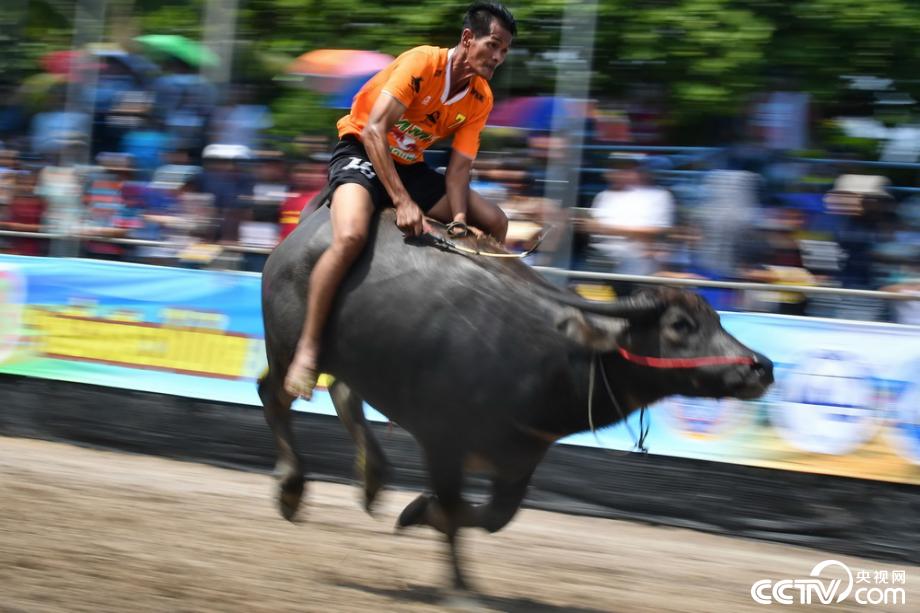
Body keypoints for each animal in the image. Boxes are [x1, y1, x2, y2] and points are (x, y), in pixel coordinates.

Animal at [258, 204, 773, 599]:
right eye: (680, 326)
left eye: (717, 319)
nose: (761, 367)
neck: (550, 352)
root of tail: (298, 234)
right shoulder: (441, 443)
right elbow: (455, 514)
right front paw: (460, 588)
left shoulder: (520, 456)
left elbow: (491, 518)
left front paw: (416, 511)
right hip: (287, 346)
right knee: (274, 393)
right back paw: (292, 487)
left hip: (351, 360)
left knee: (343, 391)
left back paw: (371, 478)